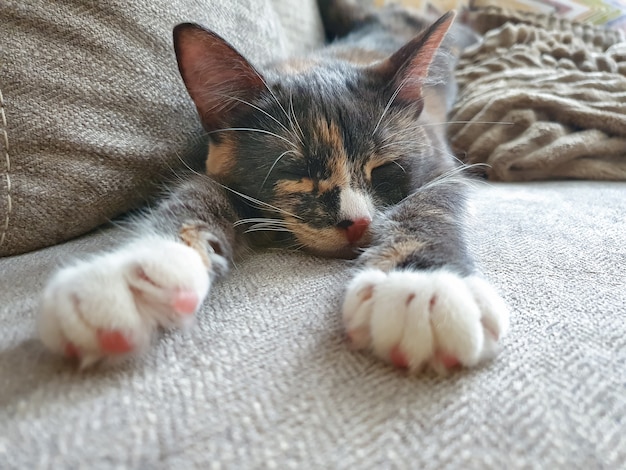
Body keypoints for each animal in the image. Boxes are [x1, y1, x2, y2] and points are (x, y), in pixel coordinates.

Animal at [37, 0, 508, 374]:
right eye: (296, 170)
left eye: (384, 169)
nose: (356, 223)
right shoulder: (218, 170)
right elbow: (196, 194)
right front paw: (134, 272)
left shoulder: (442, 166)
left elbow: (429, 205)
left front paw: (423, 286)